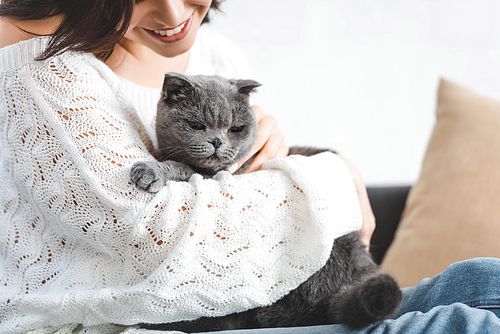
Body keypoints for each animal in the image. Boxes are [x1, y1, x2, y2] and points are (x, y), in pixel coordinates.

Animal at [130, 73, 402, 332]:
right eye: (196, 125)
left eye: (234, 129)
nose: (217, 142)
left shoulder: (218, 177)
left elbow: (181, 167)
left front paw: (149, 171)